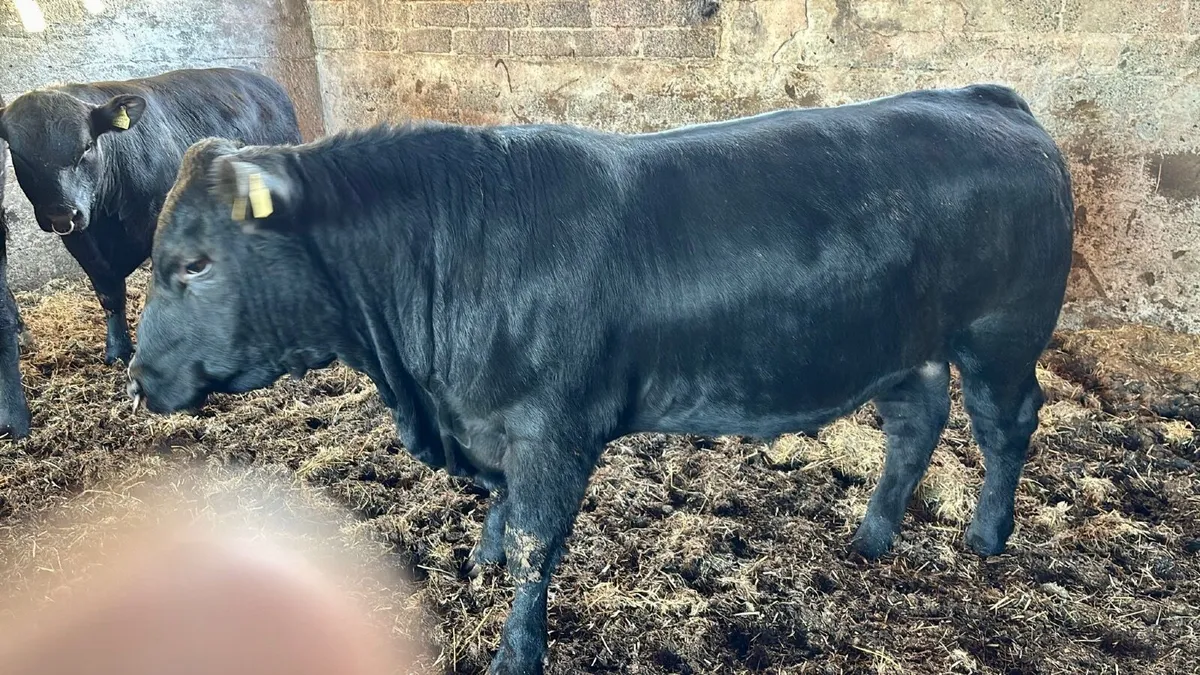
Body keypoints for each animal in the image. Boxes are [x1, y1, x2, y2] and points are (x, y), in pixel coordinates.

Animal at [0, 67, 303, 366]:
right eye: (17, 153)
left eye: (86, 146)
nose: (62, 213)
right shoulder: (81, 240)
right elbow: (109, 294)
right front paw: (118, 349)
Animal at [126, 84, 1075, 674]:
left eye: (195, 262)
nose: (137, 376)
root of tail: (990, 99)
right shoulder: (491, 422)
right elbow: (503, 509)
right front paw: (478, 557)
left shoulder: (553, 427)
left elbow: (536, 537)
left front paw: (515, 648)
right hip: (907, 344)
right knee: (915, 424)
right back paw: (872, 536)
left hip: (1002, 332)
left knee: (1005, 424)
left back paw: (987, 535)